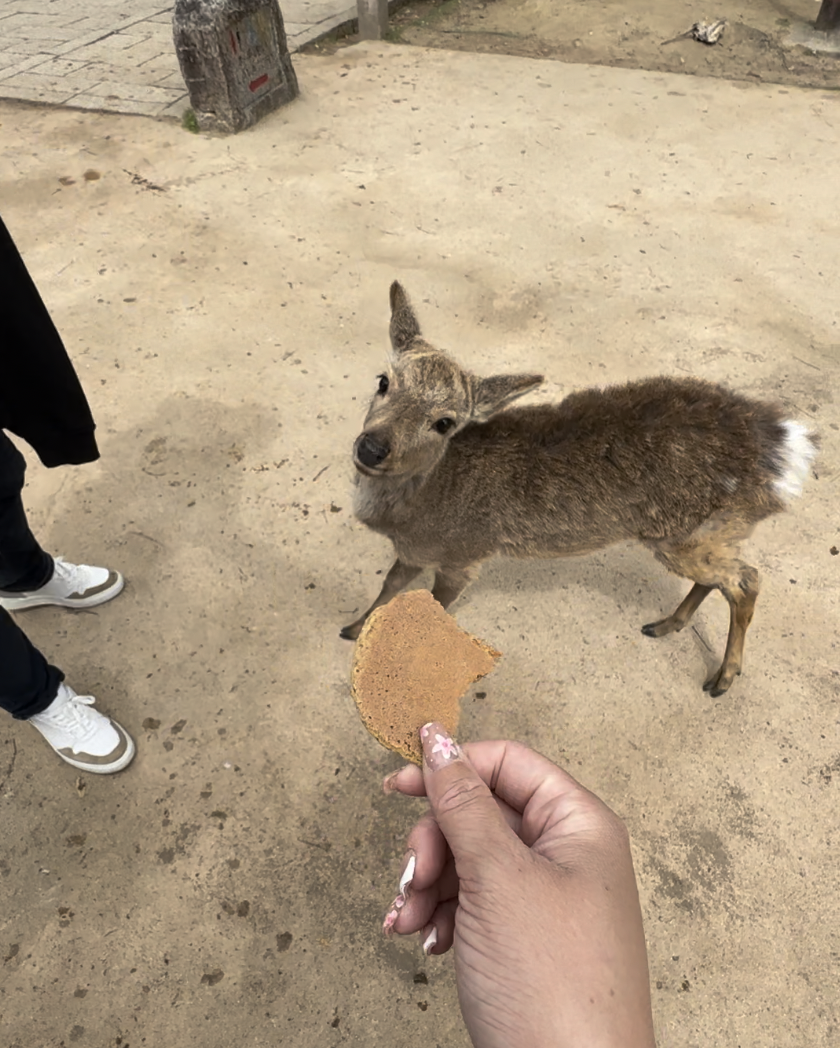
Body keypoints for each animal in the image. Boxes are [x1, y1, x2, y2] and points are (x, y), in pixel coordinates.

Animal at [340, 281, 818, 695]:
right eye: (384, 381)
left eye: (445, 422)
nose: (372, 447)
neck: (416, 509)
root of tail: (784, 450)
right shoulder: (414, 551)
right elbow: (389, 585)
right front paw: (353, 628)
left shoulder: (464, 553)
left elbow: (434, 605)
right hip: (706, 535)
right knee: (722, 578)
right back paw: (665, 625)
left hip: (688, 535)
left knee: (748, 579)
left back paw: (722, 679)